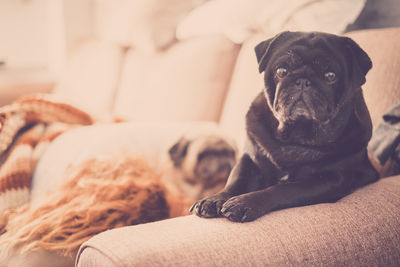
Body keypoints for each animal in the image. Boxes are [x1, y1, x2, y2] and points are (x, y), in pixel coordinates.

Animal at [190, 30, 378, 224]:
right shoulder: (249, 159)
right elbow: (236, 180)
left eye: (330, 76)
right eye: (281, 71)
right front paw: (215, 199)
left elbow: (284, 189)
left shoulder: (330, 179)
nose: (303, 80)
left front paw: (245, 202)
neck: (295, 137)